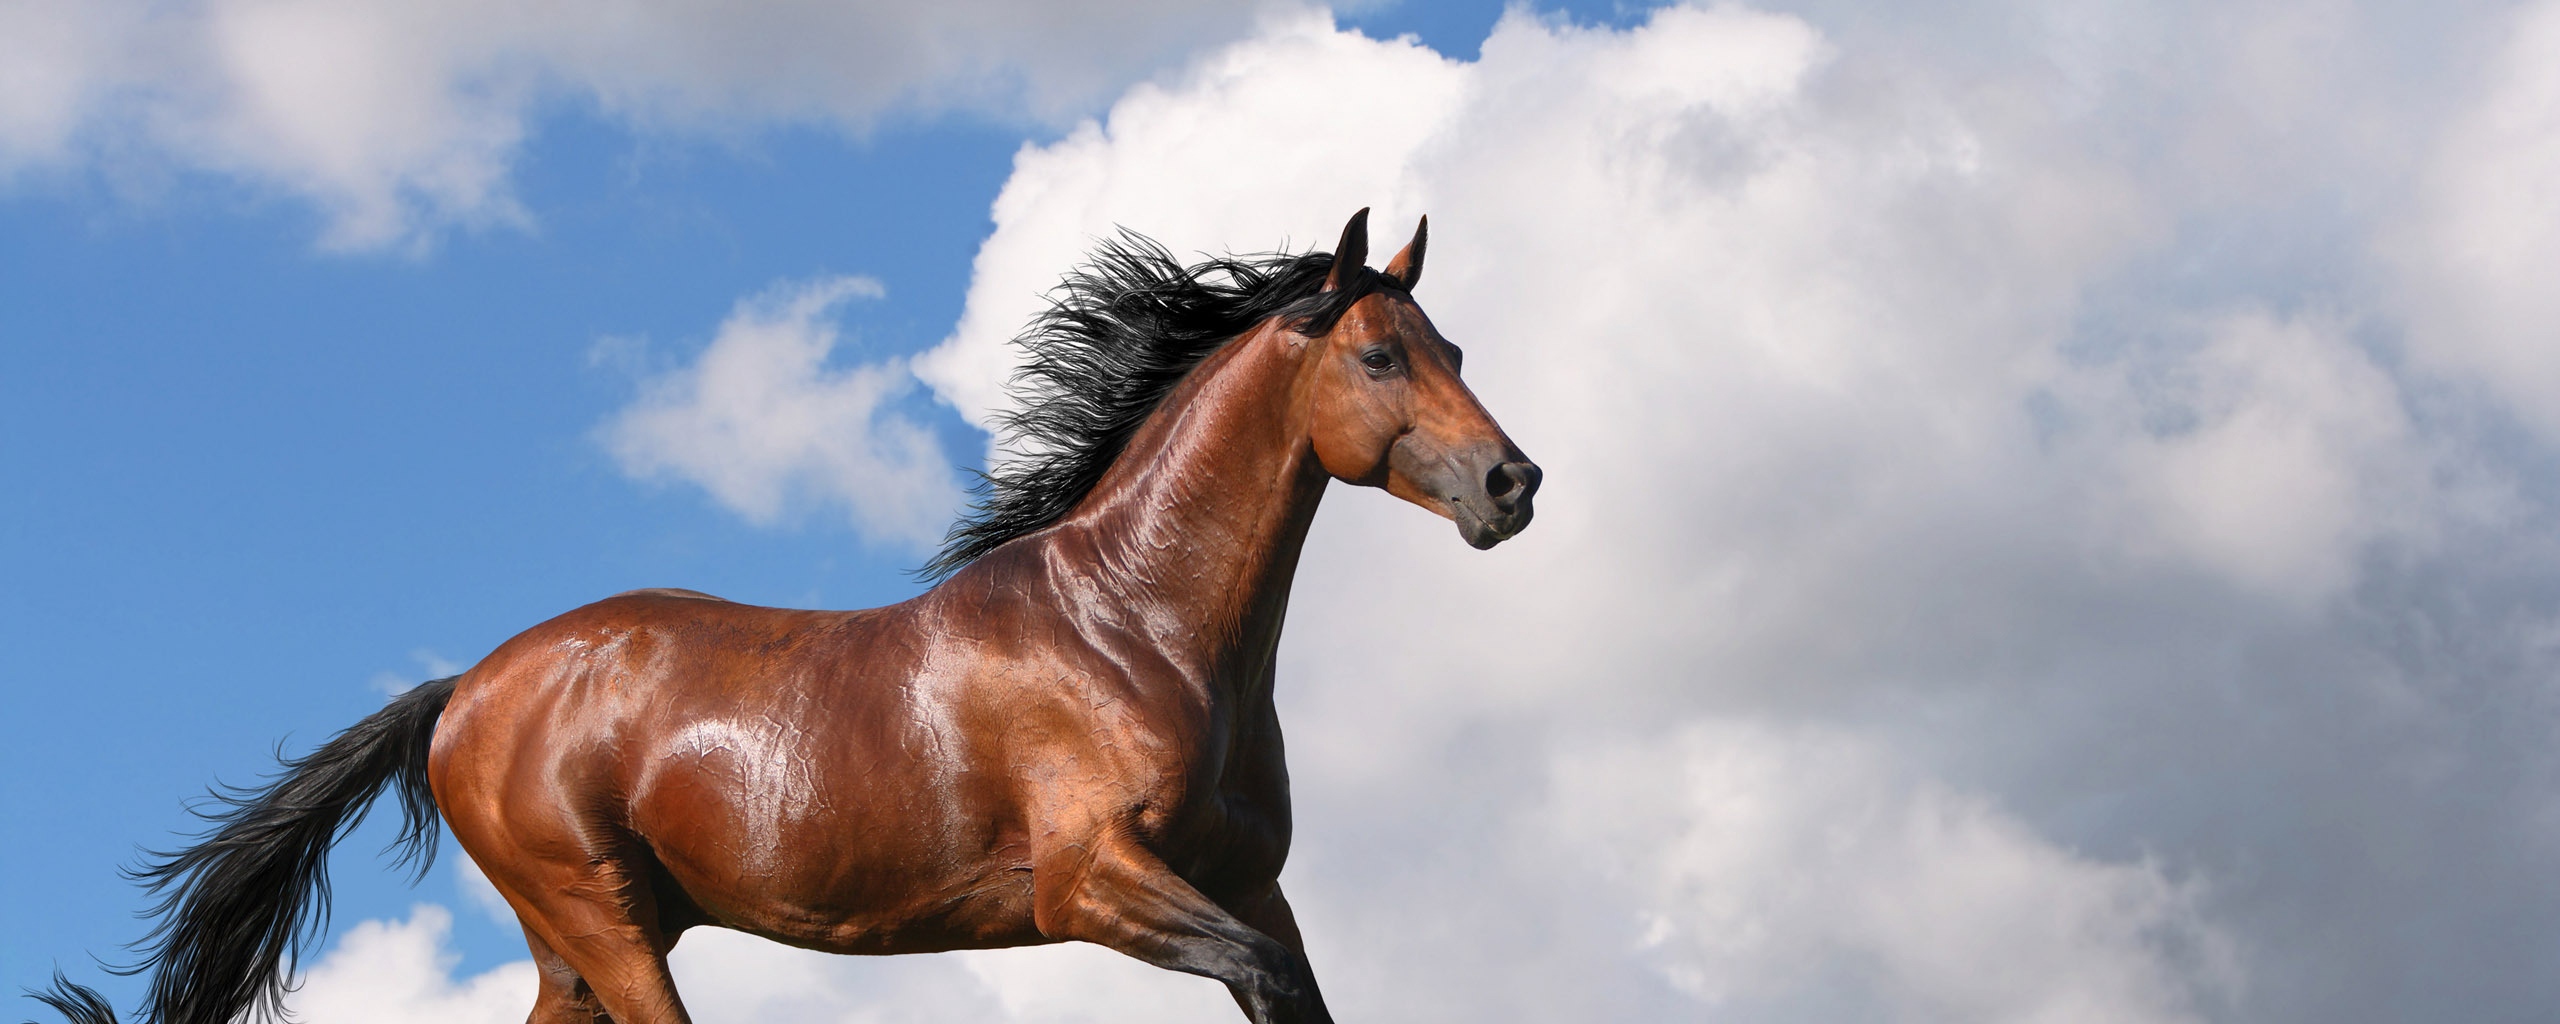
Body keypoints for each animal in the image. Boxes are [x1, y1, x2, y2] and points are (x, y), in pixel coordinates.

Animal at [31, 208, 1539, 1024]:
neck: (1138, 630)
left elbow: (1297, 989)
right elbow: (1268, 983)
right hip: (601, 917)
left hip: (584, 940)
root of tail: (464, 689)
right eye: (1380, 353)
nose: (1511, 483)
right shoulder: (1091, 882)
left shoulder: (1248, 885)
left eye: (1456, 346)